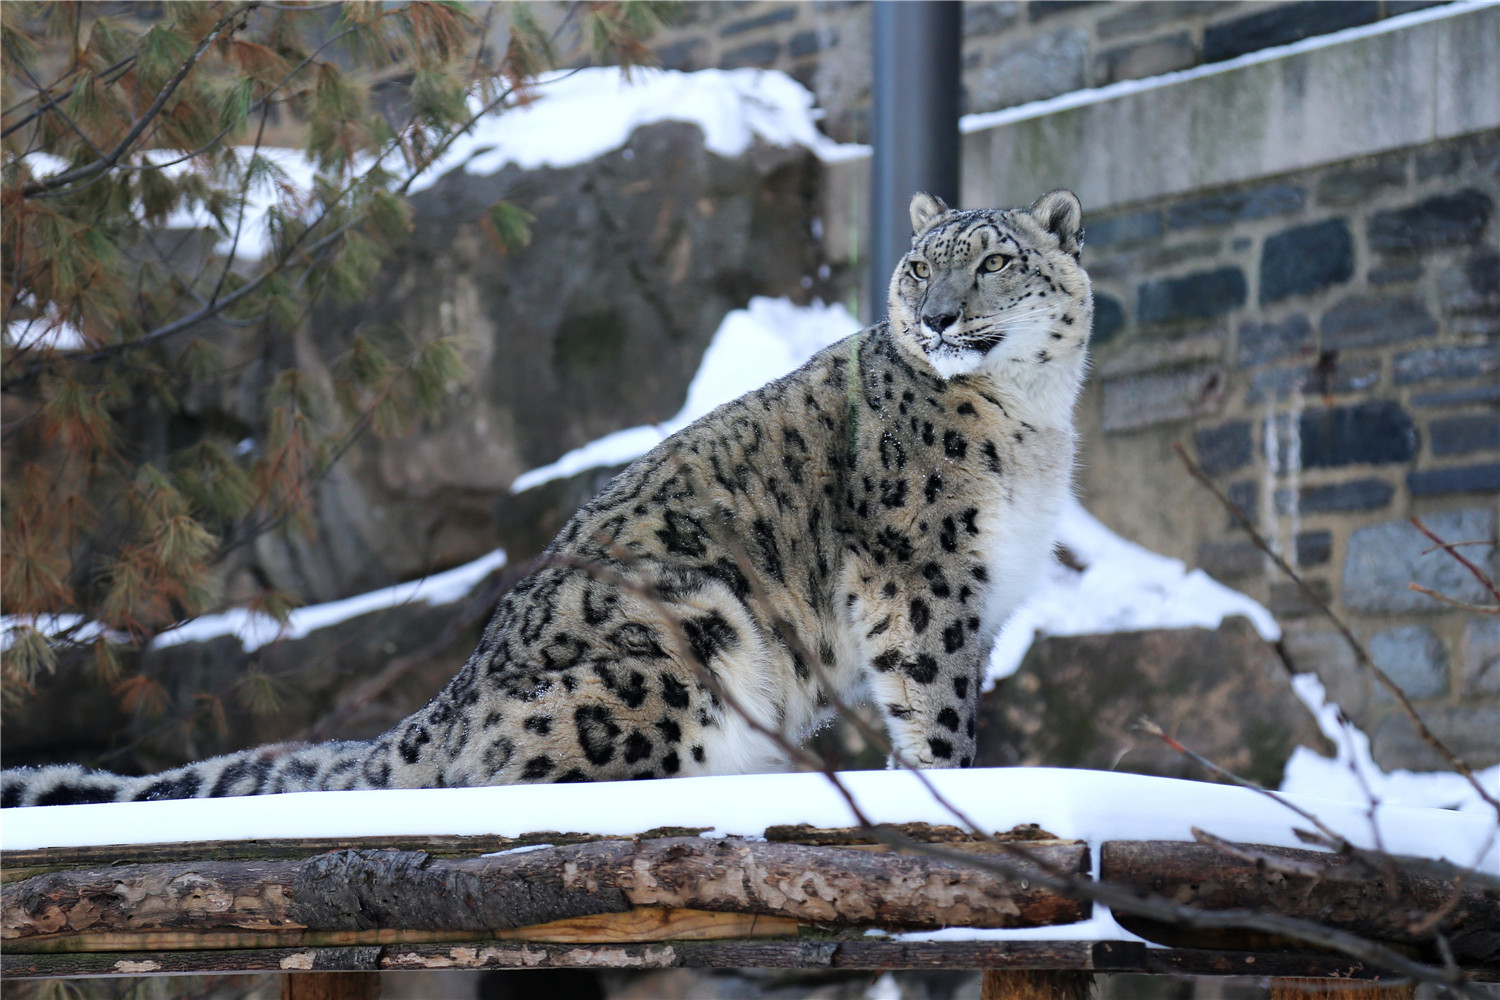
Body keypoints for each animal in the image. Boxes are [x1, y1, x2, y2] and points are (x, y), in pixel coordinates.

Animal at [2, 190, 1092, 807]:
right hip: (686, 639)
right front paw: (949, 788)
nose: (938, 316)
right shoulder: (922, 575)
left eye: (995, 261)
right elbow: (933, 699)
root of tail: (443, 705)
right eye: (918, 267)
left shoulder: (980, 596)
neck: (1035, 422)